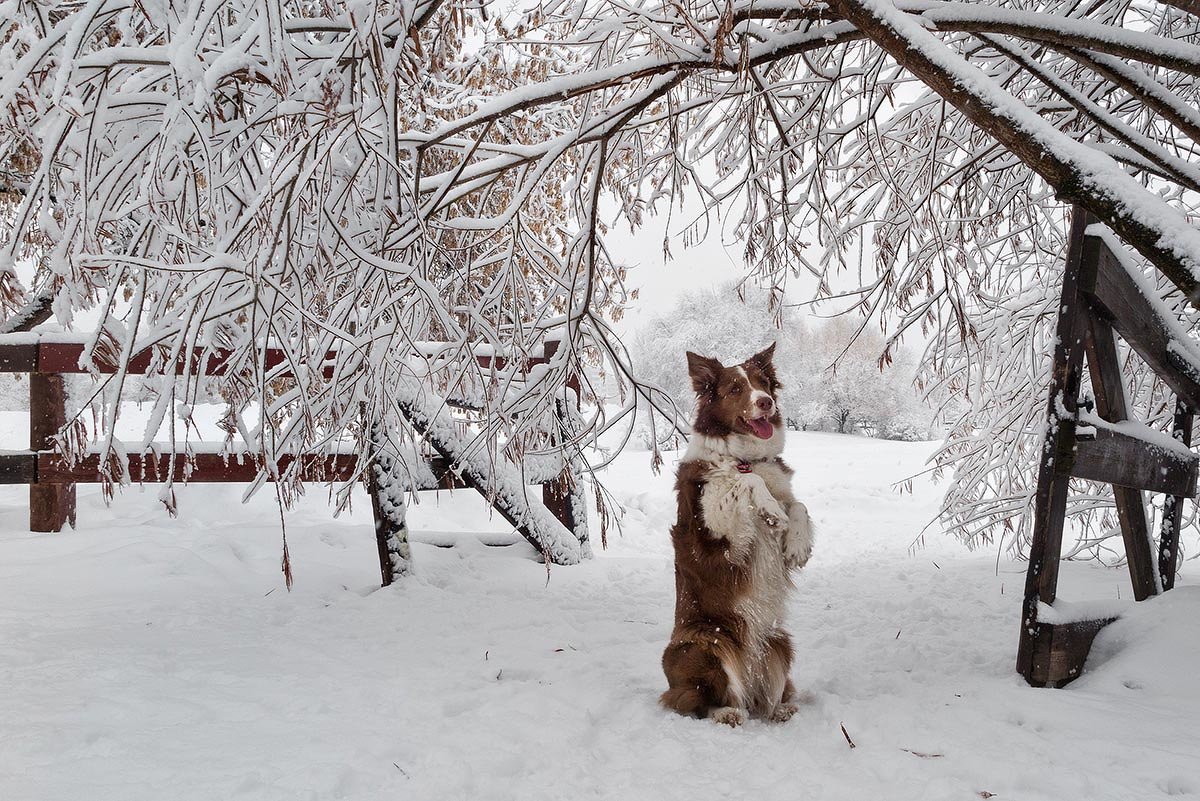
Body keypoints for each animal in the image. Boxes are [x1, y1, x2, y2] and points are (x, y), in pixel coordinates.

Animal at [657, 340, 816, 729]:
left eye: (763, 383)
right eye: (734, 389)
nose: (766, 402)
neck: (744, 456)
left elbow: (799, 504)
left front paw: (797, 543)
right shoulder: (714, 534)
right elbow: (747, 482)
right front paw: (770, 509)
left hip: (778, 643)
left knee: (763, 699)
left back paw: (779, 710)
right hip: (706, 643)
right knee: (697, 700)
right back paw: (727, 712)